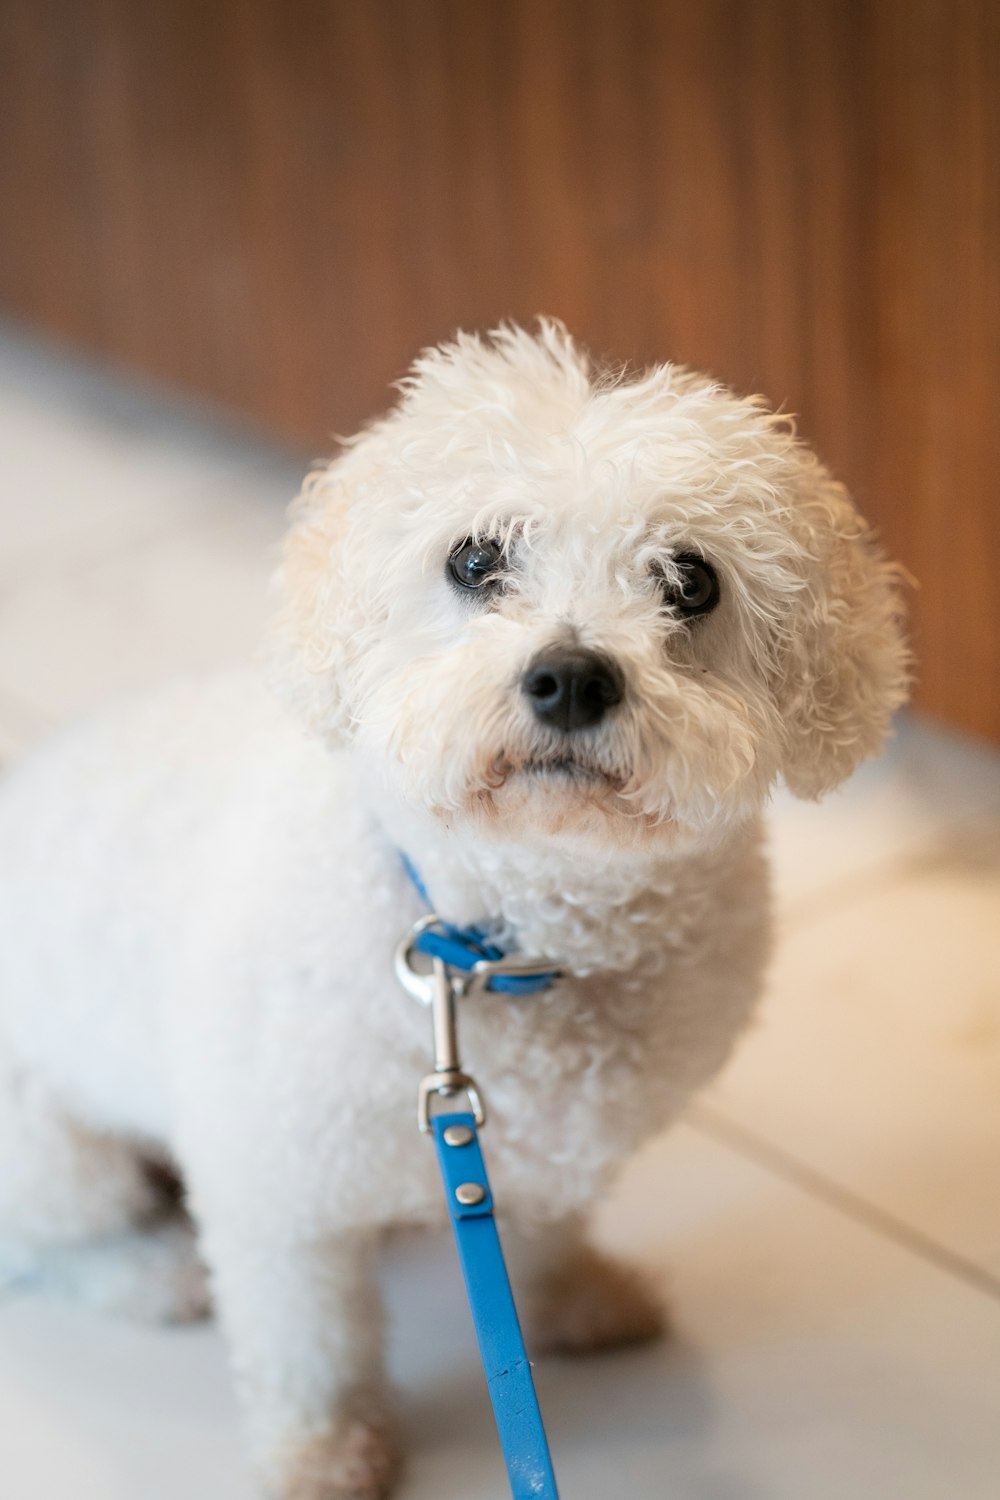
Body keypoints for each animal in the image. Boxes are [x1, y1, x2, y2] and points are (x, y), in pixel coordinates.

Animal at [0, 328, 905, 1500]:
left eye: (691, 580)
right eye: (475, 560)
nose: (570, 677)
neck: (496, 945)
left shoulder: (547, 1155)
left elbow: (547, 1229)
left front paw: (569, 1301)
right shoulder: (273, 1196)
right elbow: (310, 1346)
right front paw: (323, 1454)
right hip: (50, 1151)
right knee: (47, 1249)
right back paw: (155, 1274)